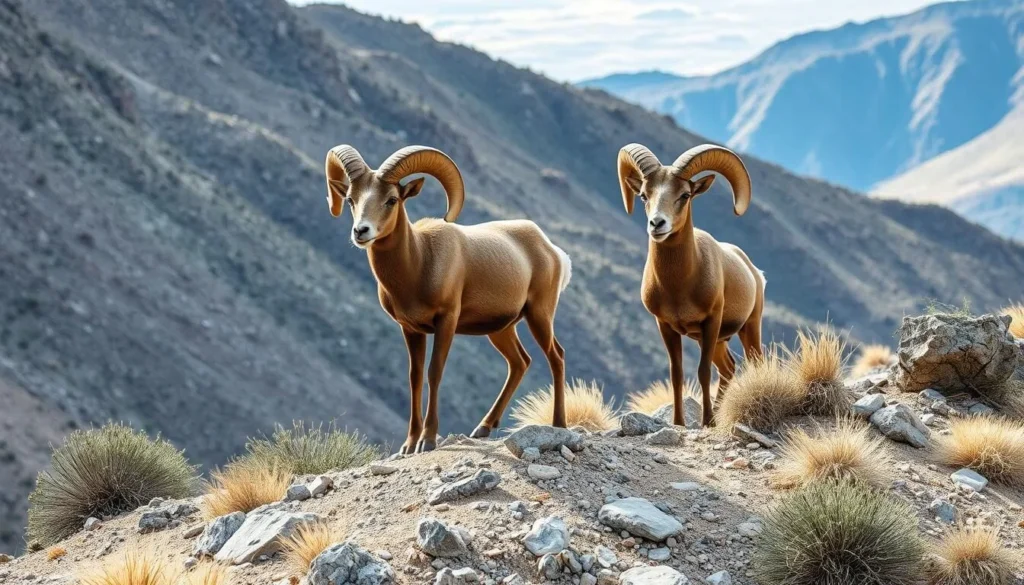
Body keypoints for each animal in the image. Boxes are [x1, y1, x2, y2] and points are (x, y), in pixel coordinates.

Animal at [324, 144, 572, 453]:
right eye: (350, 200)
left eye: (392, 199)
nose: (361, 231)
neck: (420, 262)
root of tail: (553, 251)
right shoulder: (411, 330)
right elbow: (415, 378)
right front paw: (409, 444)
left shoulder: (447, 322)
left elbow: (435, 373)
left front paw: (428, 441)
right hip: (501, 329)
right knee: (519, 363)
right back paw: (483, 428)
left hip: (539, 315)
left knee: (556, 357)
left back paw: (559, 424)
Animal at [617, 143, 765, 427]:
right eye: (643, 195)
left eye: (685, 195)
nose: (657, 224)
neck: (678, 287)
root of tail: (754, 272)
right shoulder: (666, 326)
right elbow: (677, 374)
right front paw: (679, 422)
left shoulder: (711, 322)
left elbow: (703, 371)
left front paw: (708, 422)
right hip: (719, 341)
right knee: (728, 368)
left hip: (749, 328)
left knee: (753, 365)